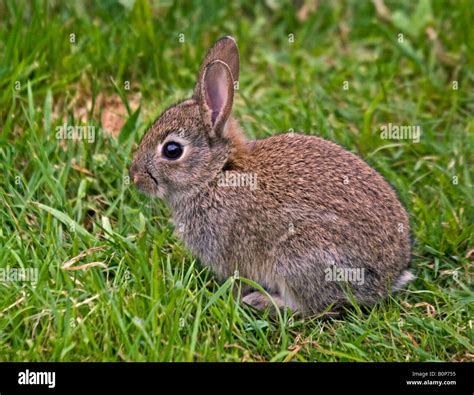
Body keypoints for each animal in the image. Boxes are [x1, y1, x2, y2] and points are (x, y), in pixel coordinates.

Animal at [129, 35, 412, 318]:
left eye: (172, 150)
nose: (134, 177)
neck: (214, 174)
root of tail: (387, 279)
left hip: (300, 255)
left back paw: (262, 301)